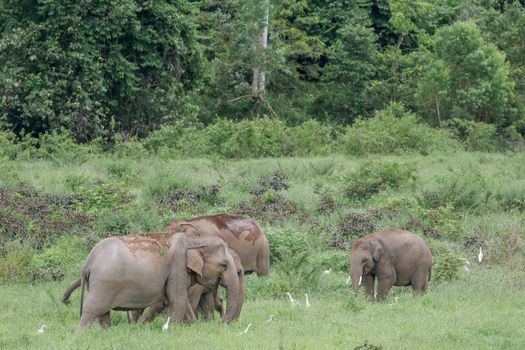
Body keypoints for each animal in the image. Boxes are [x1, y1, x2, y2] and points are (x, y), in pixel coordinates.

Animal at [73, 232, 239, 328]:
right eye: (223, 265)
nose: (222, 324)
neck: (194, 240)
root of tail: (89, 261)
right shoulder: (176, 267)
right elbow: (178, 300)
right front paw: (173, 330)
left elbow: (178, 301)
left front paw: (193, 327)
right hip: (104, 283)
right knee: (92, 309)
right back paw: (81, 333)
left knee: (103, 313)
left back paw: (107, 331)